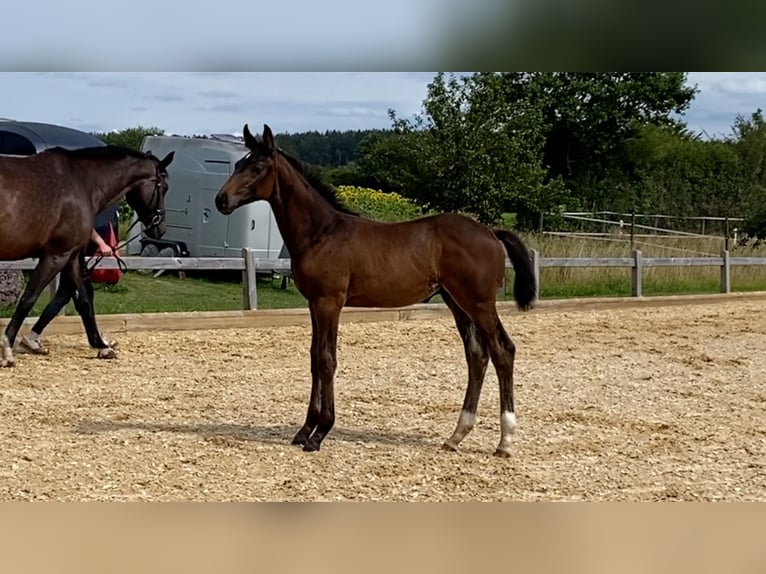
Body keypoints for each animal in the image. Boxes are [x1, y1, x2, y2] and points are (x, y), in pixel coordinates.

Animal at [0, 145, 176, 368]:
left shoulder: (73, 256)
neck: (82, 183)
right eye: (164, 187)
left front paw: (102, 346)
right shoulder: (56, 255)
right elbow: (28, 299)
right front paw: (7, 350)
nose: (160, 229)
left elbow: (84, 299)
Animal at [216, 126, 536, 460]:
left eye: (257, 167)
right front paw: (305, 430)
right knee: (477, 355)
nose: (221, 200)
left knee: (503, 351)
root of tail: (490, 232)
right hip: (457, 302)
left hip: (480, 303)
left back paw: (505, 441)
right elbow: (314, 357)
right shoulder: (314, 303)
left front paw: (319, 433)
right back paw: (456, 436)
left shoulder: (330, 302)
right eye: (238, 164)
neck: (321, 232)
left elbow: (327, 359)